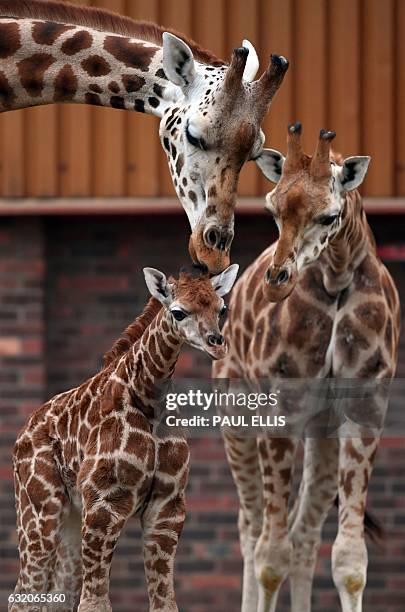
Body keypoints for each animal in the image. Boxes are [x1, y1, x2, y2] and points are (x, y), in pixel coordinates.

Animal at [10, 266, 237, 612]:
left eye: (221, 308)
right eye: (178, 312)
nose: (217, 344)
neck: (149, 399)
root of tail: (21, 436)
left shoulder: (168, 506)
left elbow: (164, 602)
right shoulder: (105, 501)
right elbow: (94, 603)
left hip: (71, 517)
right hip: (39, 509)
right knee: (26, 593)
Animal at [213, 125, 400, 612]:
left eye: (330, 216)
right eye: (272, 209)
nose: (278, 281)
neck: (337, 278)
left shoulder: (364, 413)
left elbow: (349, 560)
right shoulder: (281, 409)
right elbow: (269, 556)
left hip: (323, 431)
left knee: (303, 533)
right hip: (235, 414)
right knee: (251, 529)